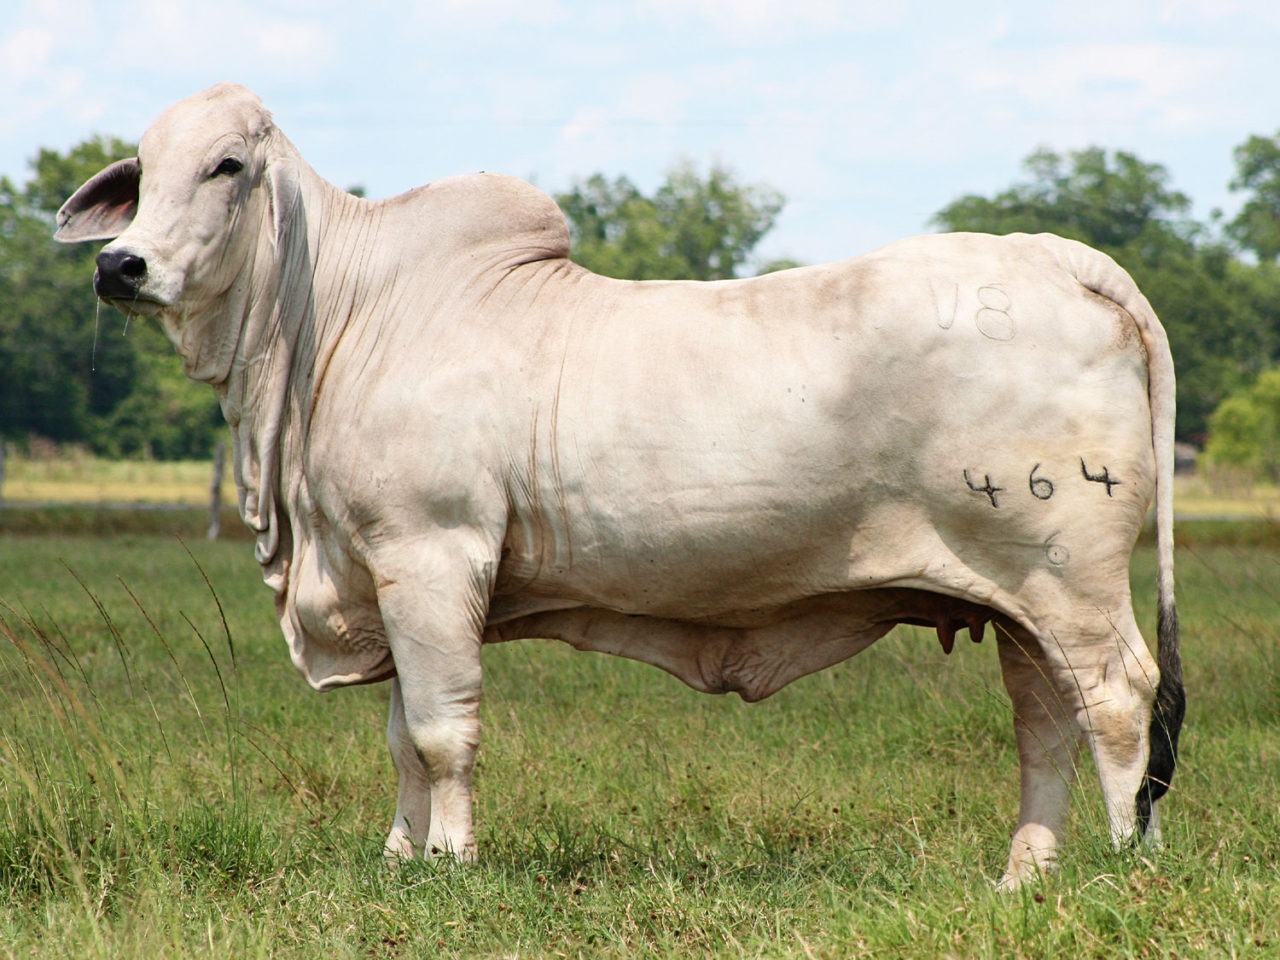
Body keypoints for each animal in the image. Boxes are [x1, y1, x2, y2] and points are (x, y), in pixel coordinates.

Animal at [56, 82, 1183, 890]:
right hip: (1018, 598)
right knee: (1044, 720)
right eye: (143, 172)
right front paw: (399, 860)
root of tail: (1052, 254)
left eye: (227, 165)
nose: (122, 266)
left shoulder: (433, 554)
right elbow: (400, 739)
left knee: (1120, 702)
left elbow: (440, 731)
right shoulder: (389, 576)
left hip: (1068, 574)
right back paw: (1022, 878)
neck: (335, 319)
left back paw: (1123, 867)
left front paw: (452, 865)